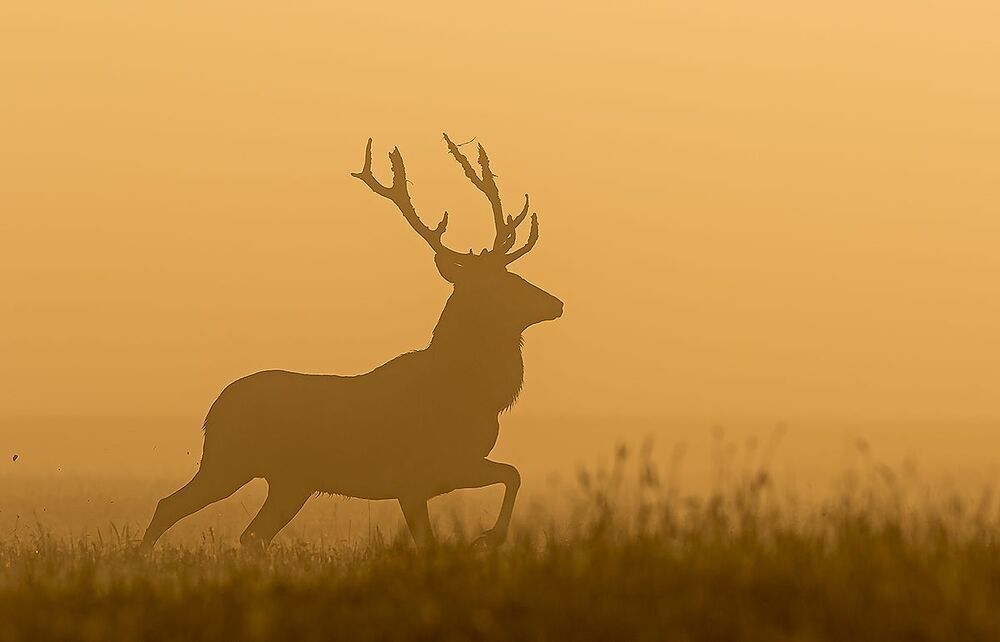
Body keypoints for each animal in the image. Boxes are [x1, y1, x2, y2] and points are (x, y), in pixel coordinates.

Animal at [140, 134, 562, 551]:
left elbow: (513, 473)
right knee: (169, 506)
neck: (475, 396)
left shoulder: (456, 466)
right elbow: (434, 537)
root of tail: (211, 414)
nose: (555, 303)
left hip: (290, 480)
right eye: (497, 284)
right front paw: (487, 537)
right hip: (229, 461)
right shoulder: (411, 477)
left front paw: (489, 536)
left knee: (251, 535)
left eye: (515, 274)